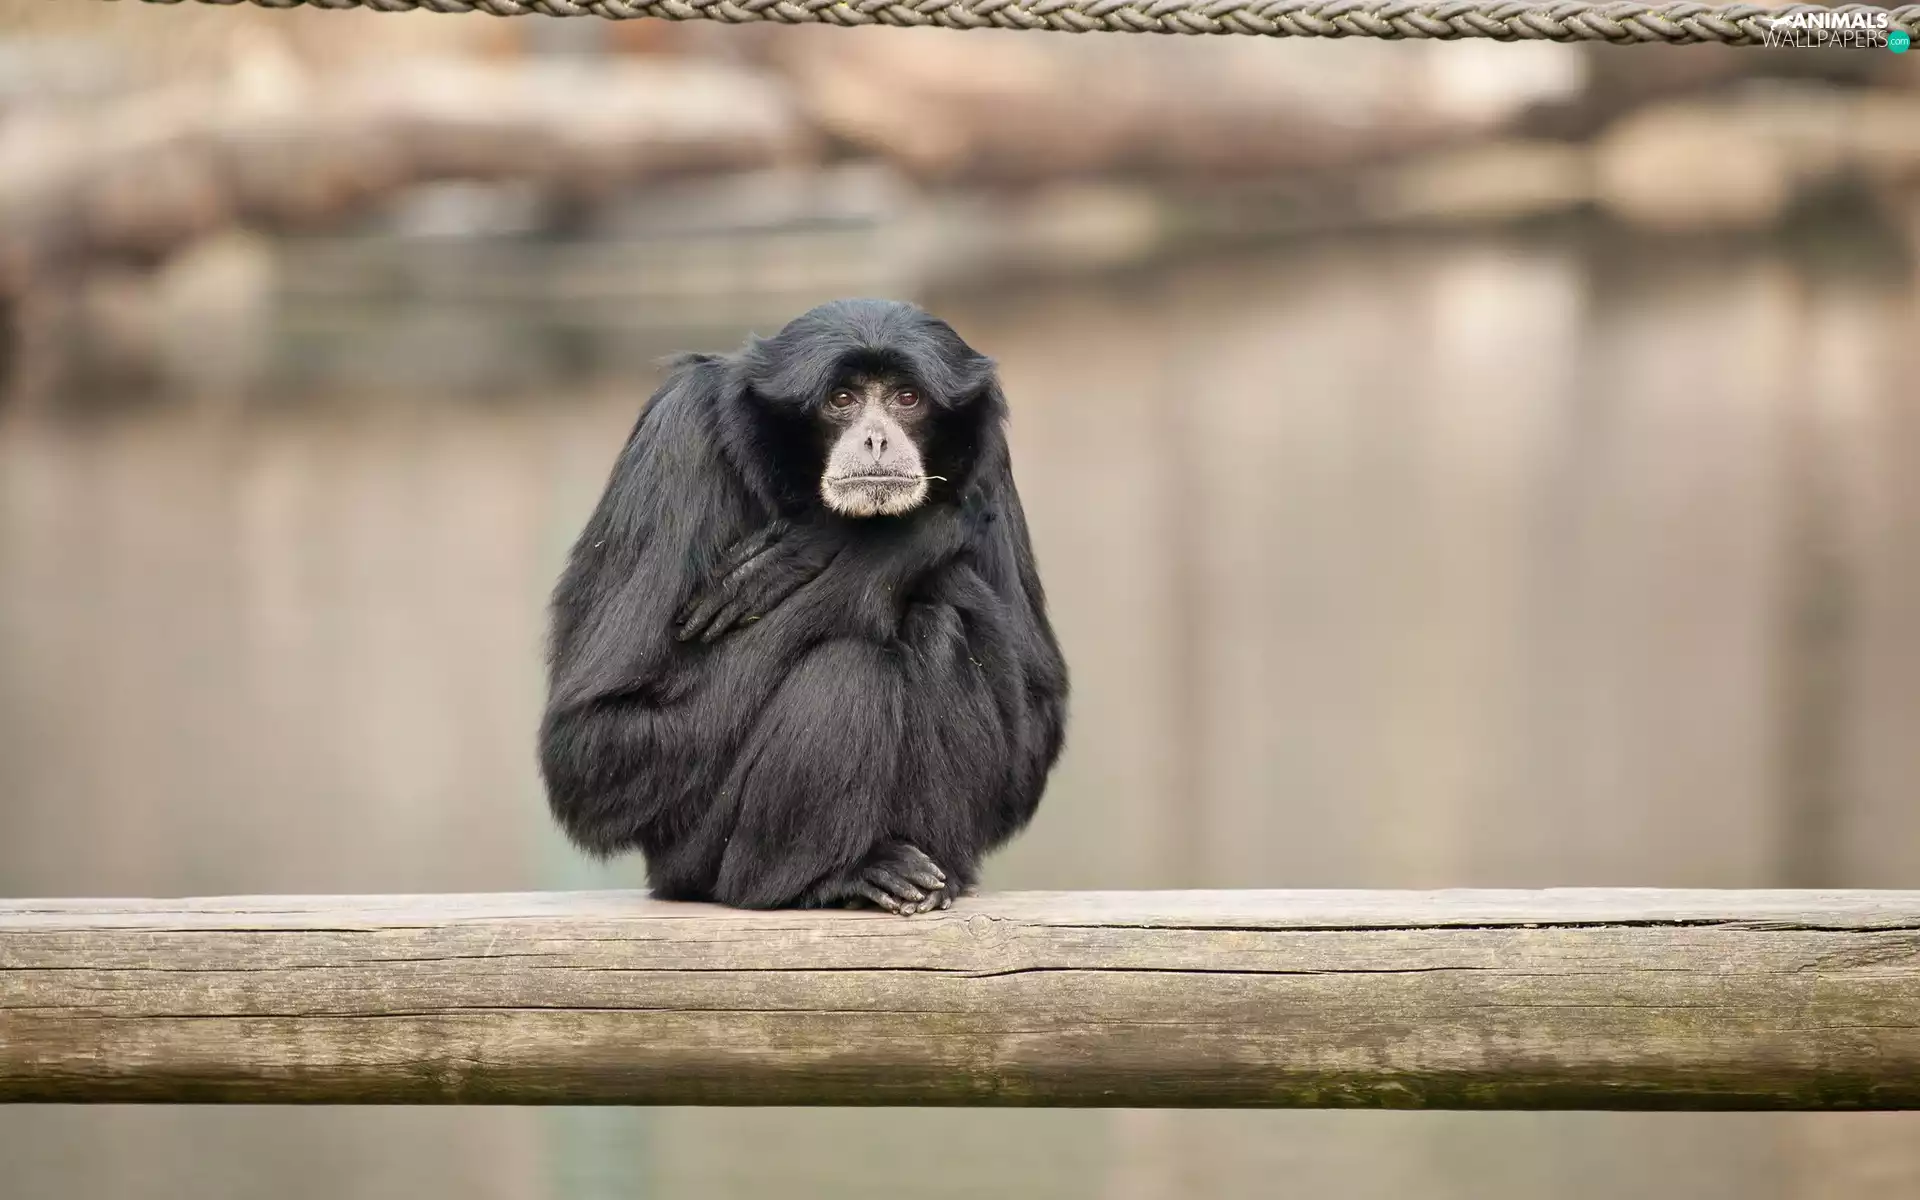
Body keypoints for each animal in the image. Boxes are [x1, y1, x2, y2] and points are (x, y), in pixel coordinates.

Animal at [538, 299, 1068, 914]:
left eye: (907, 398)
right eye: (841, 400)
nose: (876, 440)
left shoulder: (992, 459)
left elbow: (1035, 727)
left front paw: (847, 544)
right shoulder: (680, 430)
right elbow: (592, 743)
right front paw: (867, 541)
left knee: (939, 623)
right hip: (695, 853)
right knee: (852, 663)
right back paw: (832, 877)